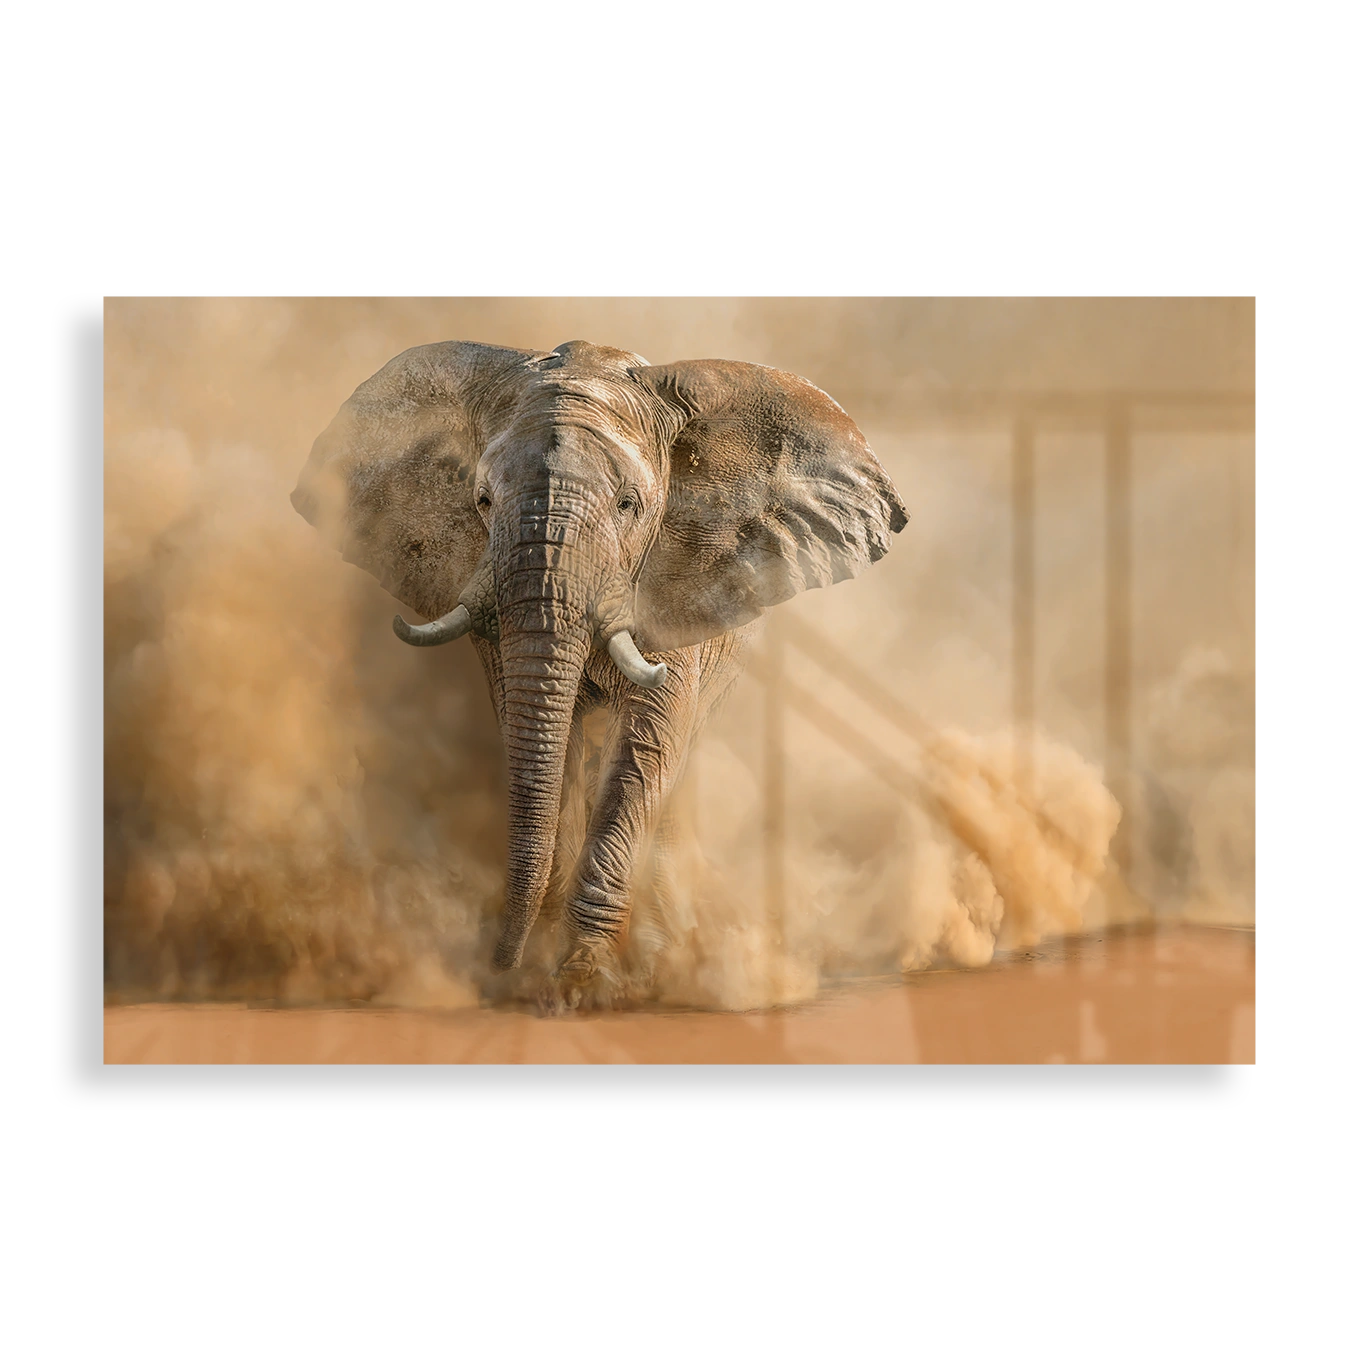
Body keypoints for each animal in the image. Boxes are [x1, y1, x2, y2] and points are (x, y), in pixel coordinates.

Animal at [291, 339, 909, 1012]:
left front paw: (579, 986)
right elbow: (545, 744)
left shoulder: (668, 586)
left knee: (674, 770)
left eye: (628, 506)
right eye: (482, 501)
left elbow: (645, 750)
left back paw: (665, 964)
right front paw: (540, 975)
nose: (496, 966)